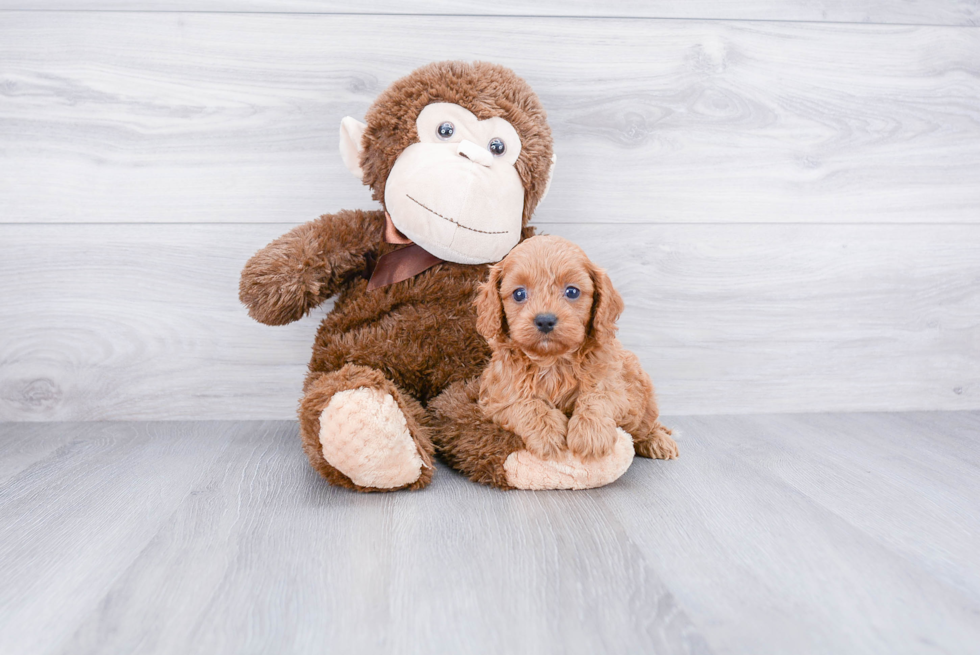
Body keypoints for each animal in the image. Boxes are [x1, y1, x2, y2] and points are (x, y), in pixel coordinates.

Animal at [476, 236, 676, 462]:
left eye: (572, 291)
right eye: (519, 294)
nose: (545, 320)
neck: (552, 360)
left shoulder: (613, 383)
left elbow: (597, 396)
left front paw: (590, 434)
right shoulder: (498, 396)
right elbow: (525, 404)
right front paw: (548, 433)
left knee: (645, 424)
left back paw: (657, 440)